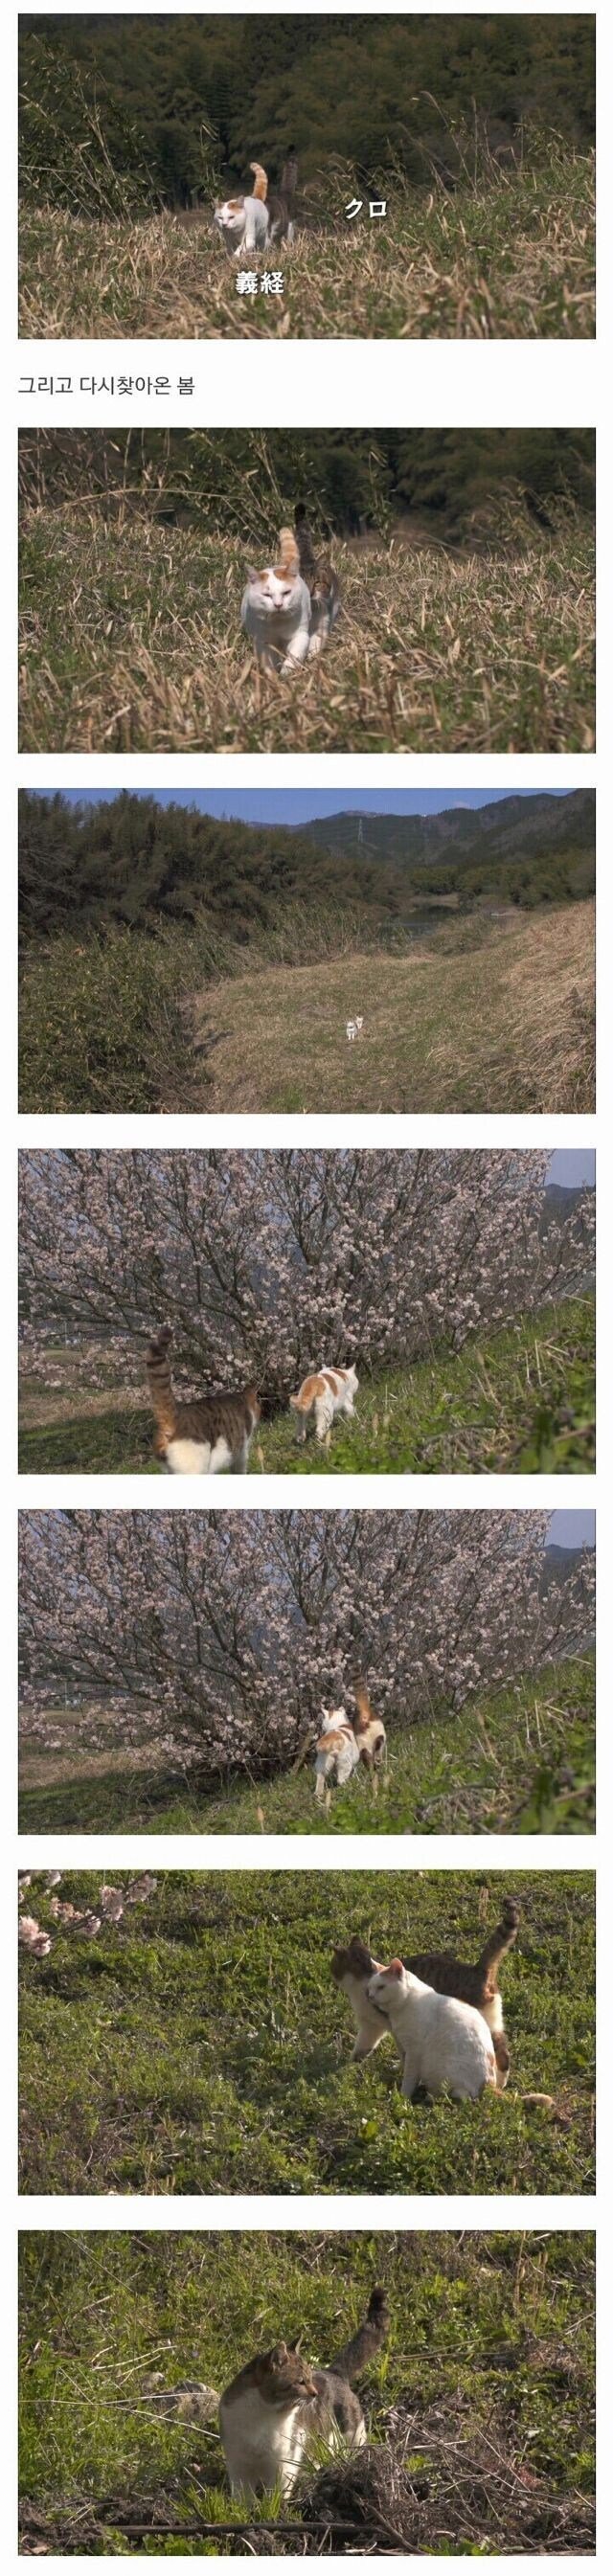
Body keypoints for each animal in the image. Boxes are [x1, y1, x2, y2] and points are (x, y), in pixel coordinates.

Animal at [331, 1895, 520, 2091]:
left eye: (334, 1966)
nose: (370, 1996)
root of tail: (479, 1969)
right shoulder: (375, 2027)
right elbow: (366, 2048)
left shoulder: (390, 2027)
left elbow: (400, 2054)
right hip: (493, 2021)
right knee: (502, 2047)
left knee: (500, 2053)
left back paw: (498, 2084)